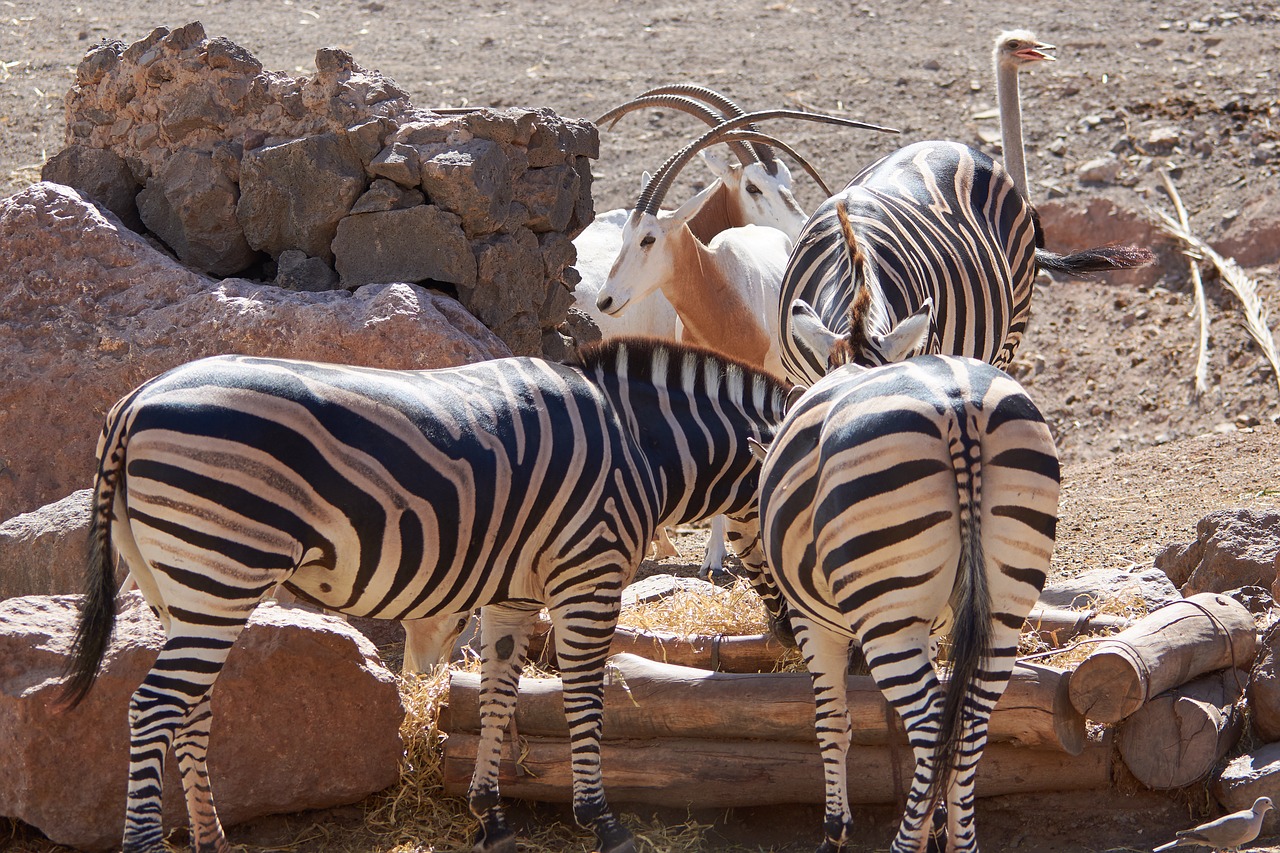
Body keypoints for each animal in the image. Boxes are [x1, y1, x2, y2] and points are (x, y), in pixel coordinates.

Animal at [64, 338, 793, 850]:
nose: (787, 635)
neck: (640, 445)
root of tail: (134, 403)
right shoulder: (590, 574)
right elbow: (584, 699)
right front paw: (603, 822)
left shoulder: (514, 595)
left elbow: (499, 697)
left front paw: (490, 815)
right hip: (222, 572)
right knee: (153, 708)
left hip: (178, 589)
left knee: (191, 708)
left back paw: (213, 839)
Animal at [757, 303, 1059, 850]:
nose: (780, 633)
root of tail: (959, 406)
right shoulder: (939, 626)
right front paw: (937, 821)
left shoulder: (816, 625)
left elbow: (831, 722)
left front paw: (835, 830)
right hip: (1002, 609)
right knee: (966, 725)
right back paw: (958, 840)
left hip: (887, 617)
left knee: (933, 726)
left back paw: (906, 842)